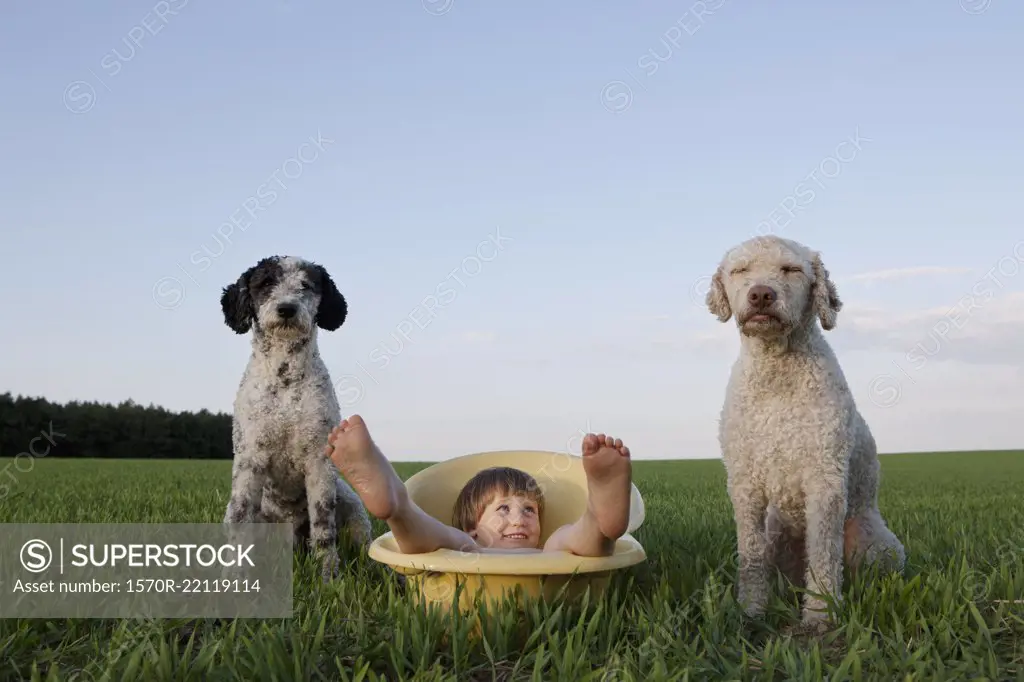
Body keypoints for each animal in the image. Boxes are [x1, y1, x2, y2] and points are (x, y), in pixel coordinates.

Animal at [704, 235, 905, 626]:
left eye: (791, 269)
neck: (776, 376)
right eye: (740, 270)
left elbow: (824, 554)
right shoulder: (744, 484)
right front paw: (751, 610)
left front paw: (820, 614)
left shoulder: (825, 478)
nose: (761, 295)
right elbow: (750, 554)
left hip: (876, 542)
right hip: (777, 533)